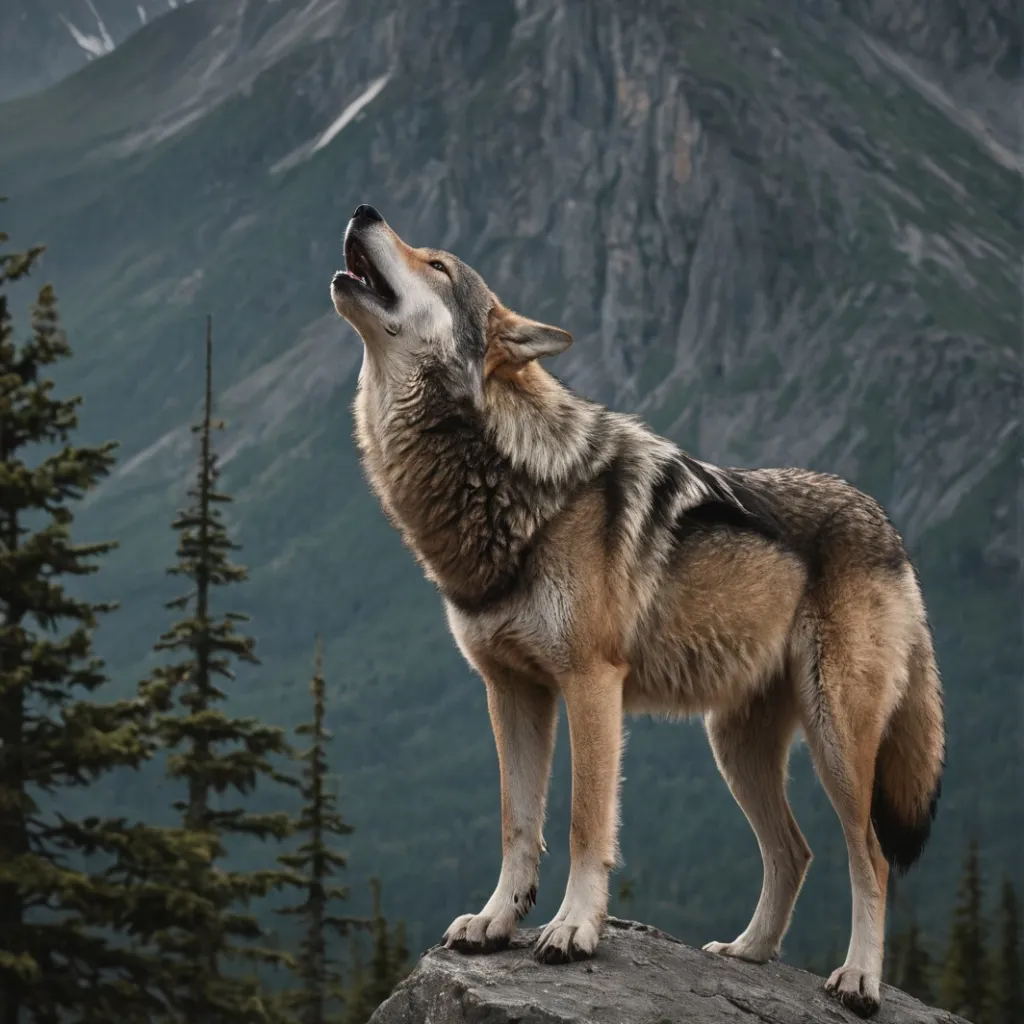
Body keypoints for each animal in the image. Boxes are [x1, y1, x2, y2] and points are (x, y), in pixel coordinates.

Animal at [329, 204, 945, 1018]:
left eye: (438, 264)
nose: (364, 210)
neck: (503, 478)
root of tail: (889, 526)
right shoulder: (509, 689)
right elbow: (517, 822)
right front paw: (496, 922)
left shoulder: (592, 685)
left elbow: (584, 821)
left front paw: (573, 930)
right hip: (735, 746)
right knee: (795, 850)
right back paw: (747, 954)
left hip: (837, 741)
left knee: (869, 856)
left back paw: (860, 979)